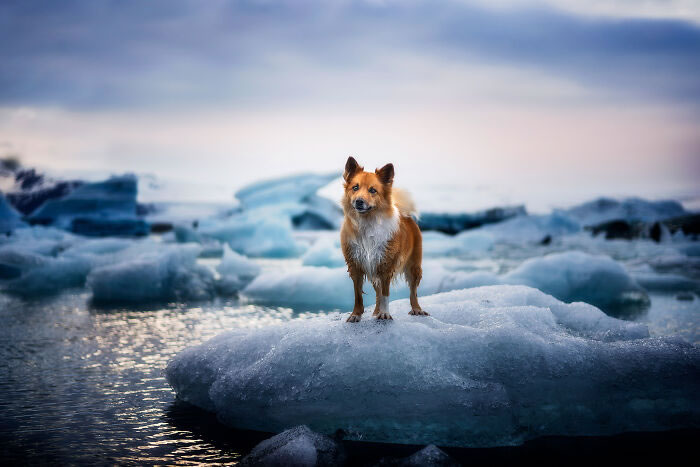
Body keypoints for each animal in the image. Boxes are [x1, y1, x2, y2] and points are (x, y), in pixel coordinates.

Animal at [340, 157, 426, 322]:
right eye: (355, 187)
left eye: (373, 190)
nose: (359, 201)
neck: (367, 223)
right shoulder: (355, 265)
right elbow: (358, 295)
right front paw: (355, 315)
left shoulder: (385, 265)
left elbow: (386, 294)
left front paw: (385, 313)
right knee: (378, 292)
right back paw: (375, 312)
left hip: (414, 266)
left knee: (413, 291)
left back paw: (417, 309)